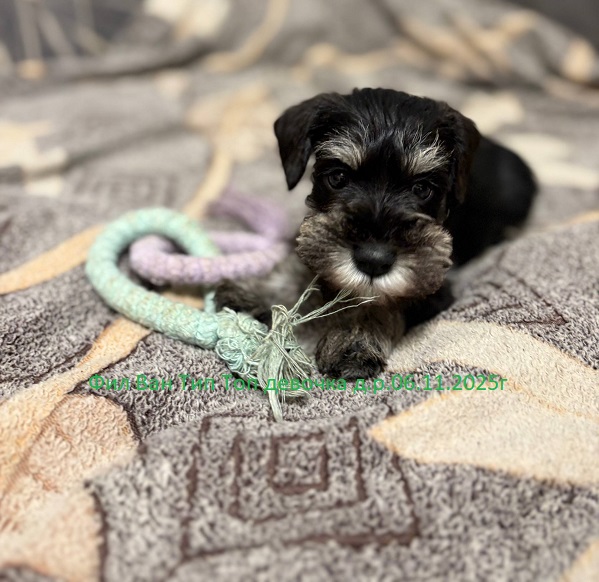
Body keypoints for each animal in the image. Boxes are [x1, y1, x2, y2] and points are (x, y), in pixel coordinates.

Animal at [215, 88, 536, 379]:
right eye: (337, 177)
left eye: (422, 188)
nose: (373, 260)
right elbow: (301, 263)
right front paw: (256, 290)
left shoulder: (434, 285)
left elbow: (384, 301)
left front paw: (353, 340)